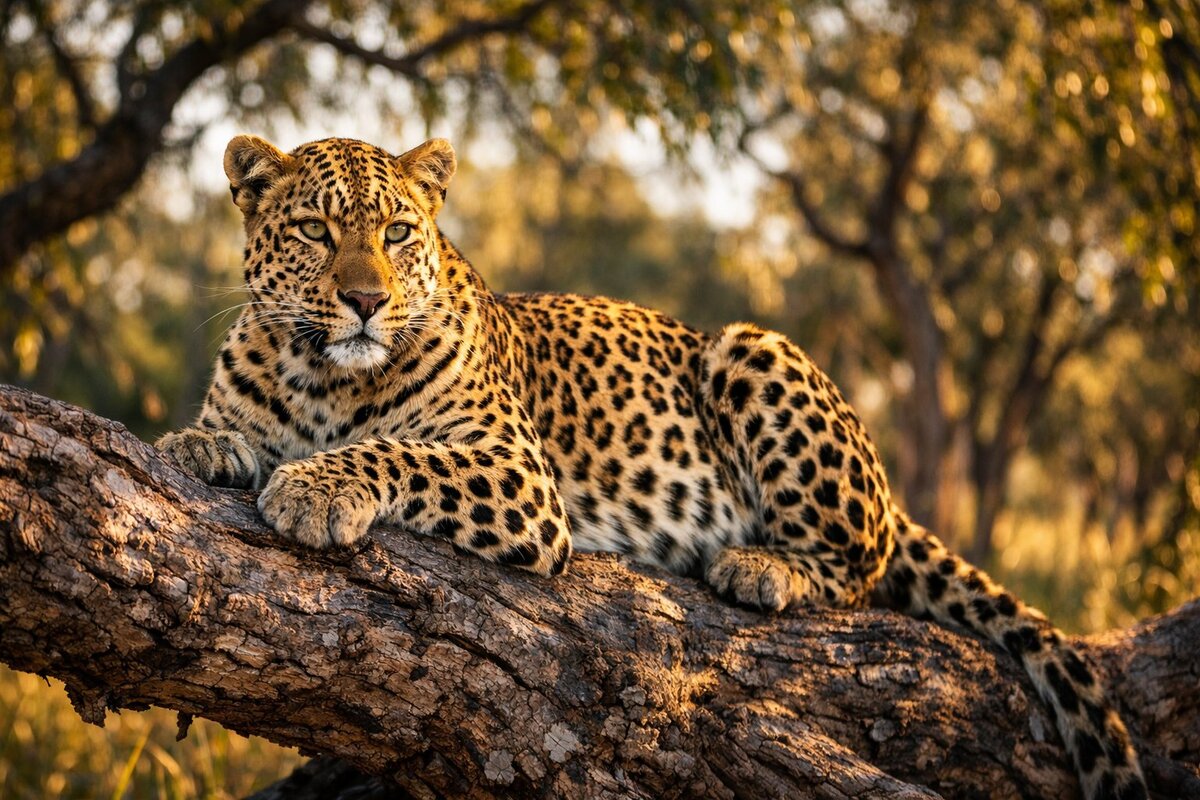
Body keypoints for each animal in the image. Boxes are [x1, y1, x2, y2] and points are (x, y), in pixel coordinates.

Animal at [156, 134, 1147, 800]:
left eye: (398, 232)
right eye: (316, 232)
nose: (367, 301)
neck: (321, 375)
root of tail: (891, 496)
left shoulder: (517, 473)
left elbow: (397, 449)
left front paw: (313, 486)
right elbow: (228, 432)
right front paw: (193, 446)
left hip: (751, 350)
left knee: (860, 567)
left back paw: (760, 566)